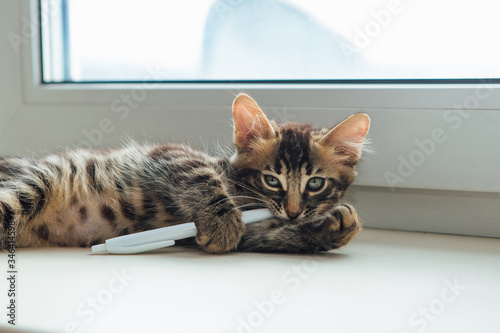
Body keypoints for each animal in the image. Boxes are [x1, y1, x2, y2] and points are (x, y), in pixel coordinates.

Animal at [0, 94, 368, 253]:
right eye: (271, 180)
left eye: (315, 183)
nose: (292, 211)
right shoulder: (172, 154)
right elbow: (205, 182)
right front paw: (222, 225)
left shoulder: (257, 231)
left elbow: (273, 235)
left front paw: (338, 225)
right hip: (33, 185)